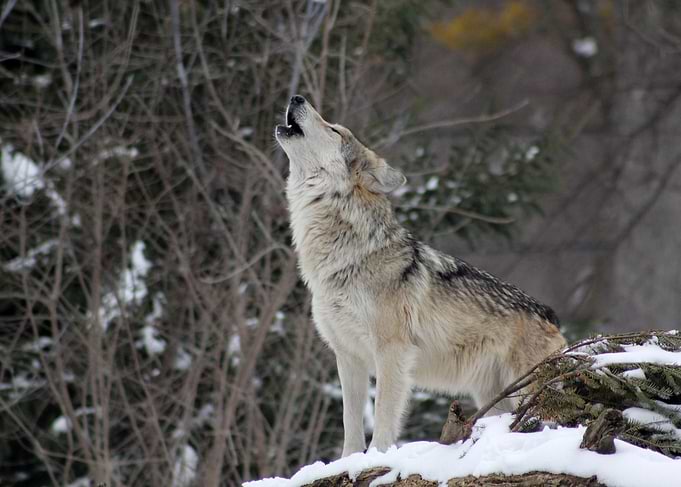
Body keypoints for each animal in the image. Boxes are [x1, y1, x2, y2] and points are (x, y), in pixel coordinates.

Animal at [275, 95, 566, 456]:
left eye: (334, 130)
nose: (296, 97)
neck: (347, 256)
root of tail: (551, 315)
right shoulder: (348, 356)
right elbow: (350, 423)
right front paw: (349, 461)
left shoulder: (392, 351)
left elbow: (383, 415)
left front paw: (377, 457)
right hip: (493, 397)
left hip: (526, 390)